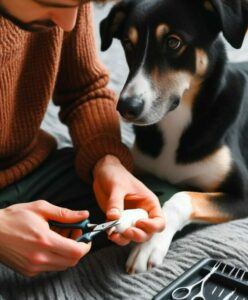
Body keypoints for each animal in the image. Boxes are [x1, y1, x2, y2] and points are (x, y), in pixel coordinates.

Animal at [100, 0, 248, 274]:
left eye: (173, 42)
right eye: (128, 43)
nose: (126, 107)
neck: (178, 119)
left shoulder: (243, 193)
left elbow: (181, 196)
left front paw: (150, 244)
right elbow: (147, 192)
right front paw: (132, 215)